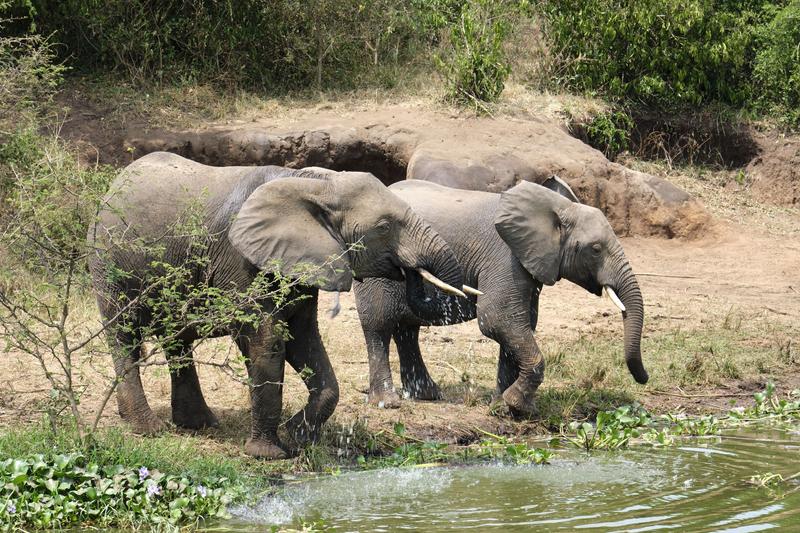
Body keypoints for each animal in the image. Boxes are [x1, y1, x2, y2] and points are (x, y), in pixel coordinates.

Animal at [86, 151, 468, 458]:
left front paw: (295, 435)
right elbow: (266, 341)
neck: (315, 184)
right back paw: (148, 428)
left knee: (177, 341)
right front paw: (269, 454)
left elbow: (302, 338)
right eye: (385, 227)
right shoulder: (241, 260)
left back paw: (199, 424)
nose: (408, 270)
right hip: (108, 263)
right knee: (123, 337)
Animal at [354, 177, 648, 414]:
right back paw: (387, 402)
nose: (643, 378)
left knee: (407, 330)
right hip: (374, 265)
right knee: (379, 325)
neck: (556, 207)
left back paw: (427, 395)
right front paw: (516, 404)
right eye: (596, 249)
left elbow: (521, 323)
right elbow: (498, 319)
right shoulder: (506, 257)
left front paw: (504, 407)